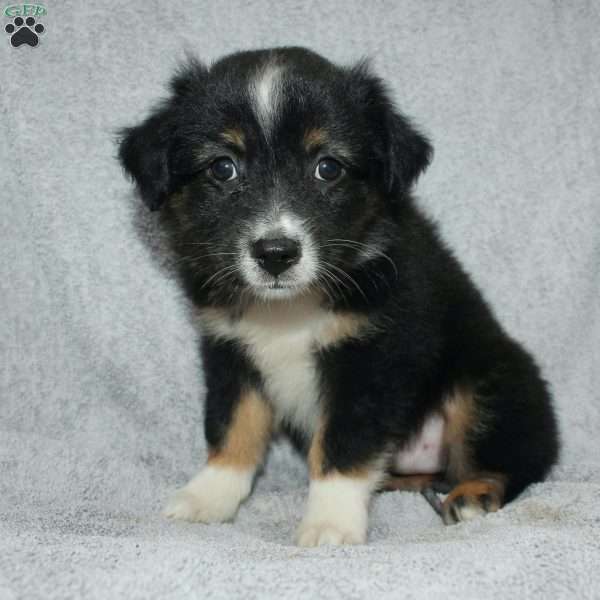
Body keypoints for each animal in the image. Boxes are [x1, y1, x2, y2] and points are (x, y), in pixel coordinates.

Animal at [119, 45, 560, 544]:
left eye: (327, 167)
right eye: (223, 167)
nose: (276, 254)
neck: (289, 310)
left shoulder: (371, 356)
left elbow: (343, 446)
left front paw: (329, 524)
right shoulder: (231, 351)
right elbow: (231, 425)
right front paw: (209, 496)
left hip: (493, 385)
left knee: (514, 462)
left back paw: (473, 495)